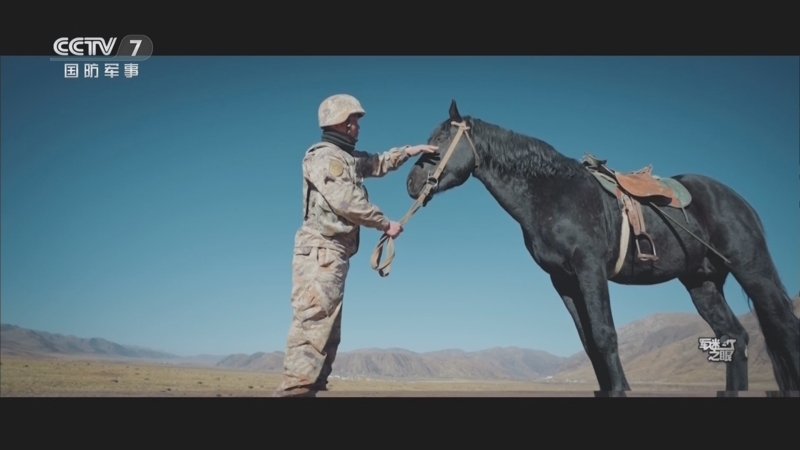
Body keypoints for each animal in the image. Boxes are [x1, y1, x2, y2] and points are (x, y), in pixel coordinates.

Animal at [405, 100, 799, 396]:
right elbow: (590, 344)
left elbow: (605, 335)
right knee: (734, 337)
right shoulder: (563, 281)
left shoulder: (589, 268)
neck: (552, 195)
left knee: (783, 328)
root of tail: (737, 200)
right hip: (703, 284)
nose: (411, 182)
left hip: (753, 271)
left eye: (441, 139)